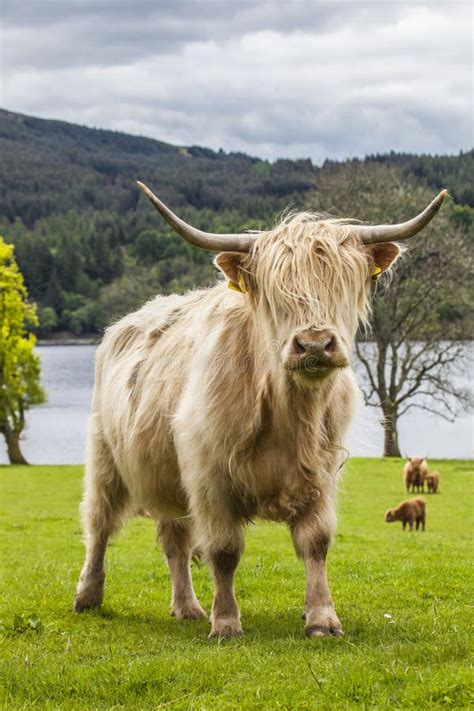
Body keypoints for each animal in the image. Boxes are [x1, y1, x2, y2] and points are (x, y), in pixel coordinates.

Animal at [72, 184, 446, 640]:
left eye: (342, 283)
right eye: (275, 294)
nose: (315, 344)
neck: (289, 415)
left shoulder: (320, 474)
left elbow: (316, 543)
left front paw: (322, 619)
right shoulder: (209, 477)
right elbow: (224, 550)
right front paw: (226, 623)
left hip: (166, 474)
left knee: (174, 539)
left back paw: (187, 607)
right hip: (105, 459)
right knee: (99, 526)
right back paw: (88, 596)